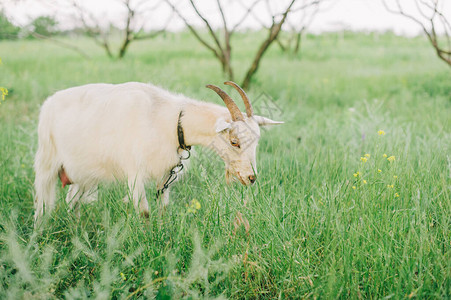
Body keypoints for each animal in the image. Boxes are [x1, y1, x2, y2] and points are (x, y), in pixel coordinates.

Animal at [34, 81, 282, 220]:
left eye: (257, 141)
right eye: (234, 141)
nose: (251, 178)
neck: (171, 120)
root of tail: (48, 103)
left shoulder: (166, 174)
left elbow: (163, 208)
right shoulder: (134, 173)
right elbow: (144, 212)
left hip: (83, 173)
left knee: (72, 201)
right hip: (47, 159)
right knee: (42, 203)